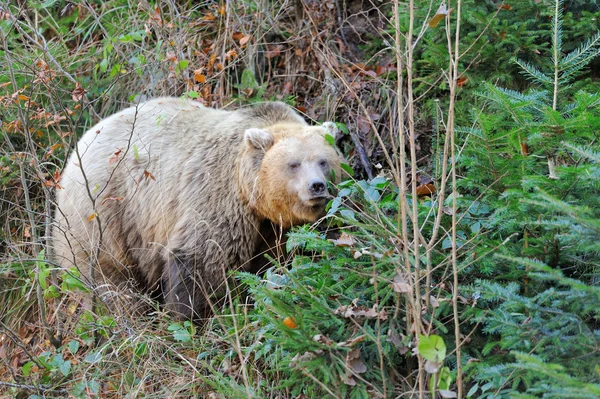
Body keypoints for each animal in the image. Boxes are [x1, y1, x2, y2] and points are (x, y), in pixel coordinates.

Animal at [52, 98, 342, 320]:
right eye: (294, 164)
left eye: (323, 161)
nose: (317, 187)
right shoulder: (216, 195)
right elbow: (203, 258)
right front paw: (191, 314)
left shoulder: (272, 226)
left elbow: (279, 258)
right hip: (104, 212)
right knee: (108, 277)